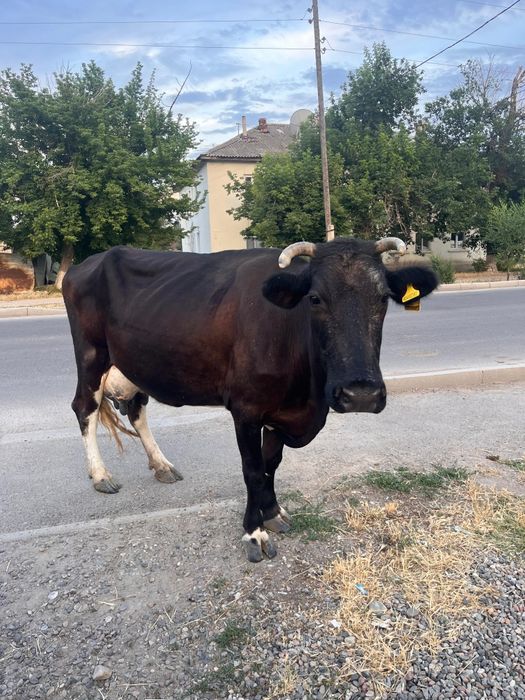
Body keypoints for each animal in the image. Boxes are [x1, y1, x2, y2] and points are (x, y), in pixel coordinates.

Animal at [63, 237, 438, 562]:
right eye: (315, 298)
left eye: (383, 297)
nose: (361, 394)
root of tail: (89, 262)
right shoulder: (245, 408)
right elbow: (253, 470)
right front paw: (254, 532)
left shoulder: (280, 412)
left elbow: (272, 465)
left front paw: (272, 511)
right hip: (92, 355)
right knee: (85, 408)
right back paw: (101, 475)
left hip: (136, 363)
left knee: (137, 409)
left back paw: (162, 465)